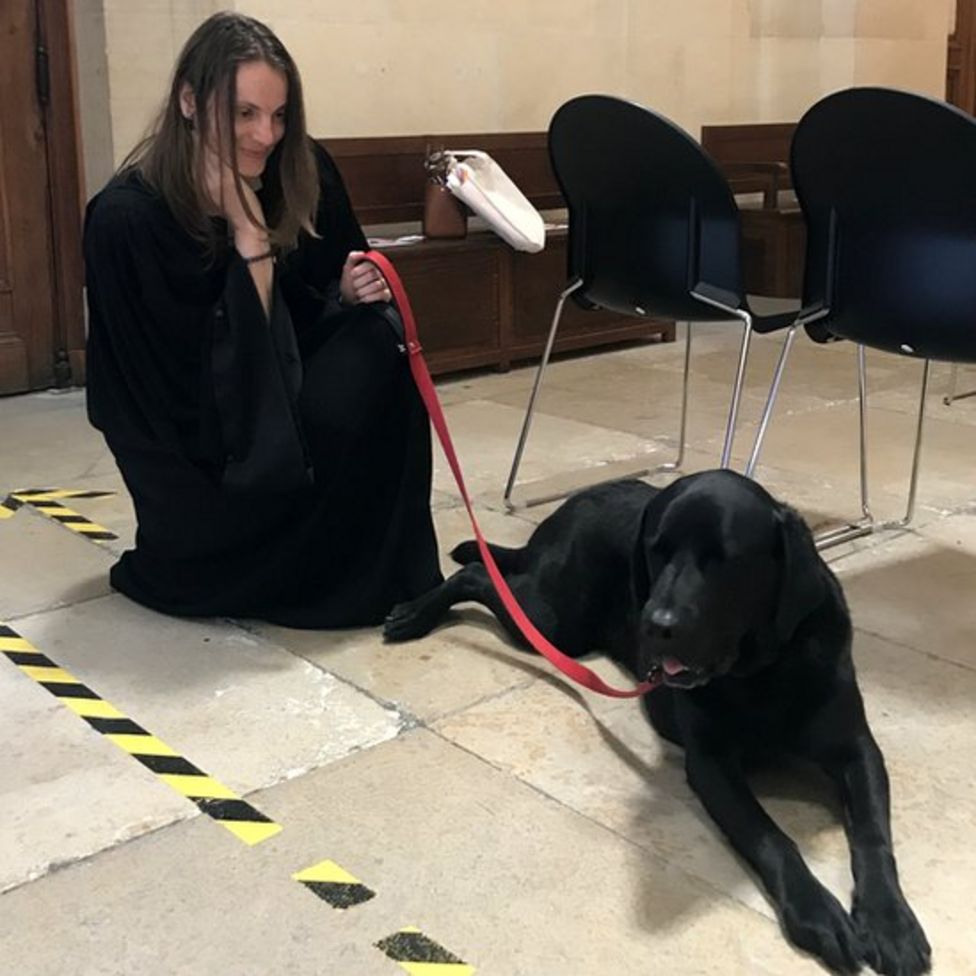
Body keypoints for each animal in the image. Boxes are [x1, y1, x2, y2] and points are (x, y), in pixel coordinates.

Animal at [384, 468, 932, 972]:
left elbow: (873, 838)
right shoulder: (711, 764)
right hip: (554, 620)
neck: (761, 671)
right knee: (478, 575)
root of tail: (577, 499)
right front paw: (818, 915)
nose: (655, 624)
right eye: (657, 551)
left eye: (724, 560)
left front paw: (890, 923)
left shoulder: (858, 750)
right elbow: (771, 837)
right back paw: (414, 613)